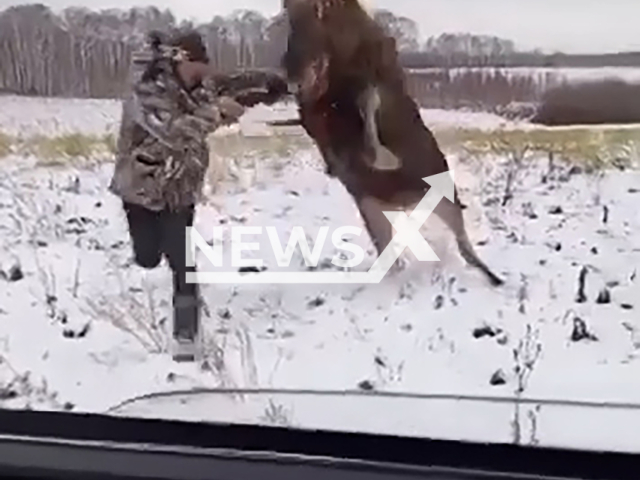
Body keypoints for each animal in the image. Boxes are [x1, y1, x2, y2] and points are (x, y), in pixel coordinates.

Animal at [280, 0, 504, 286]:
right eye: (288, 18)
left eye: (319, 12)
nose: (292, 75)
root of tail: (405, 201)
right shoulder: (317, 115)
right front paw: (336, 163)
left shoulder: (382, 87)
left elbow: (368, 99)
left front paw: (381, 157)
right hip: (371, 208)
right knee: (392, 256)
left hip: (445, 200)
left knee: (464, 247)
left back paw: (493, 277)